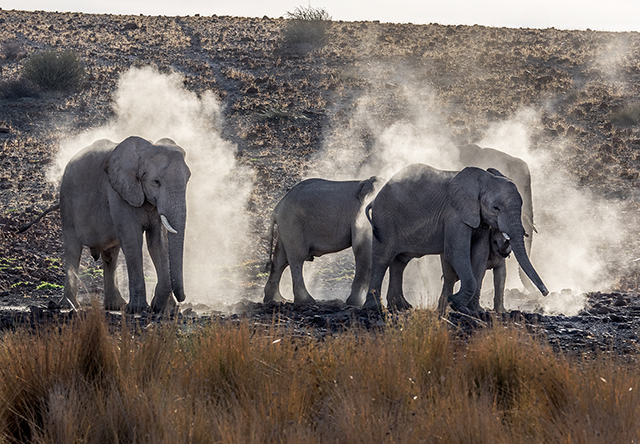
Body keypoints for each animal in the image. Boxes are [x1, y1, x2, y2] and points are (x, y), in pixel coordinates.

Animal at [58, 135, 190, 312]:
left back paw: (115, 305)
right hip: (66, 203)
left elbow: (157, 242)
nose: (182, 298)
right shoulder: (118, 193)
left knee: (111, 254)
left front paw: (164, 309)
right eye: (156, 181)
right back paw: (69, 306)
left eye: (188, 179)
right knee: (73, 250)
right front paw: (138, 309)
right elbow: (133, 240)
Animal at [262, 176, 378, 306]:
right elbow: (363, 248)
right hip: (292, 223)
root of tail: (277, 208)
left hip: (286, 227)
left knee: (280, 260)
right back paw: (306, 301)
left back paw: (274, 299)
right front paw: (356, 303)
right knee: (297, 258)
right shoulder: (361, 216)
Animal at [362, 164, 548, 312]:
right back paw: (374, 307)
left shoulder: (479, 219)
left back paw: (401, 307)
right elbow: (457, 253)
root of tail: (374, 199)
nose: (545, 293)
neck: (483, 180)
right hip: (385, 220)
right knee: (383, 259)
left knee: (400, 262)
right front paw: (456, 304)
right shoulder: (454, 215)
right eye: (496, 208)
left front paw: (474, 310)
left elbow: (479, 255)